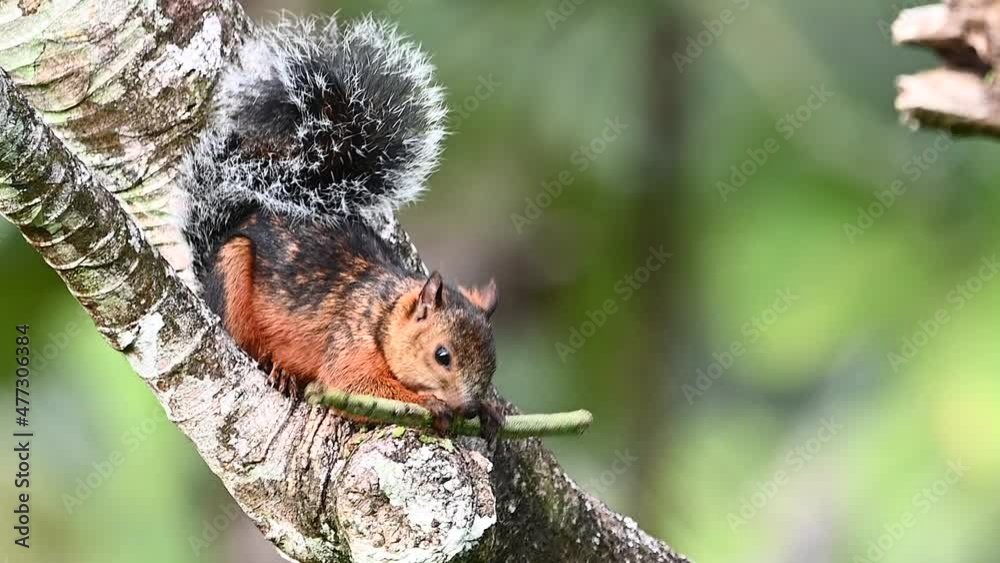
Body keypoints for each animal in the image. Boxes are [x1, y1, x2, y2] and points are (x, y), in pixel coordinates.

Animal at [177, 15, 504, 440]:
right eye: (442, 355)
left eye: (493, 362)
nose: (467, 407)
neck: (383, 313)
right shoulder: (350, 343)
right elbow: (352, 384)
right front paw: (432, 403)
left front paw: (491, 411)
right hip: (232, 274)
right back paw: (278, 368)